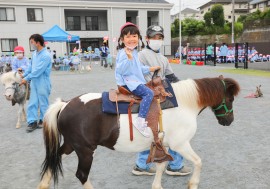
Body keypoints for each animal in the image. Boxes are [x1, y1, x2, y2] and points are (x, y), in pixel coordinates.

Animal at [37, 75, 239, 189]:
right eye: (230, 98)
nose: (229, 121)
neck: (183, 102)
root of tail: (65, 104)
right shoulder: (180, 144)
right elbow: (198, 162)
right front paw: (193, 184)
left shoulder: (163, 144)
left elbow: (161, 166)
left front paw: (157, 186)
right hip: (85, 151)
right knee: (81, 175)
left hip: (72, 145)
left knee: (55, 157)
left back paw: (43, 184)